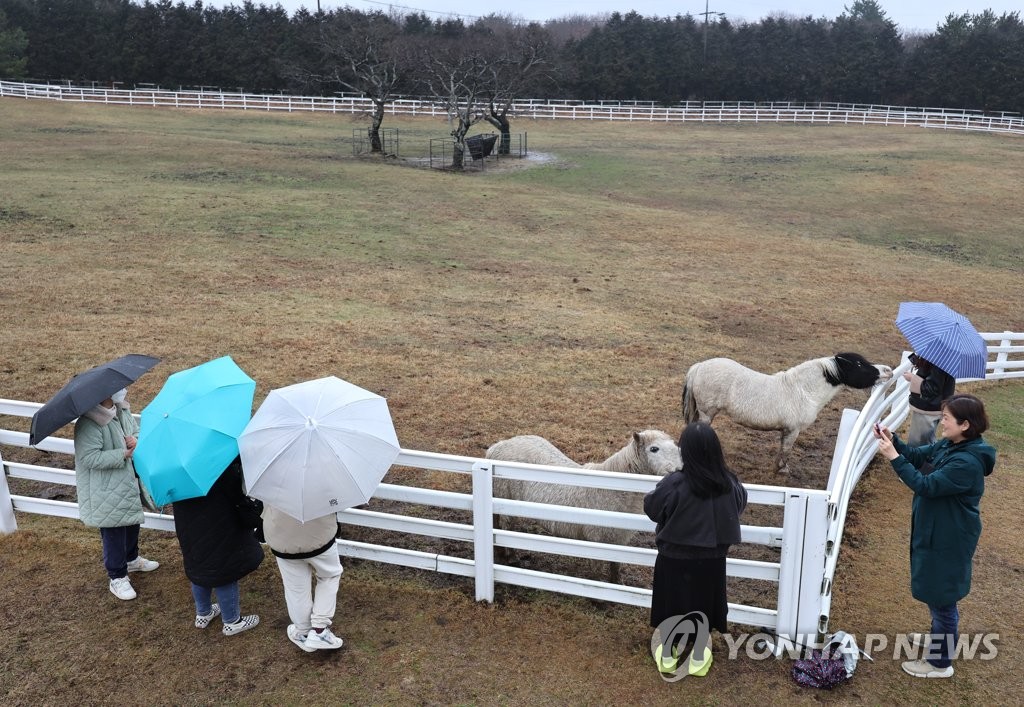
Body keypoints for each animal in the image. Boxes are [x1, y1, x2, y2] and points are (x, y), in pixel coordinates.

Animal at [485, 426, 684, 581]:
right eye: (654, 449)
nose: (678, 471)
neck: (614, 490)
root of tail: (497, 447)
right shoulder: (596, 537)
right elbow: (597, 567)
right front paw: (599, 600)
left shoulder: (619, 538)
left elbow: (616, 564)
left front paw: (616, 584)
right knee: (505, 528)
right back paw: (511, 558)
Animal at [684, 350, 892, 471]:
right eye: (859, 364)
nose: (888, 370)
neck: (803, 390)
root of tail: (699, 367)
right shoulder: (793, 430)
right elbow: (786, 450)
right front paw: (782, 469)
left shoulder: (786, 430)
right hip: (707, 413)